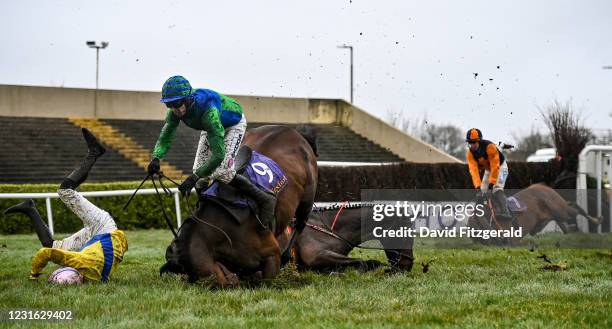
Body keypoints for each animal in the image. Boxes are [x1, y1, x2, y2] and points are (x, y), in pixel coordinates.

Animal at [470, 182, 600, 243]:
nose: (502, 238)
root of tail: (542, 186)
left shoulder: (513, 240)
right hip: (552, 215)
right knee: (563, 222)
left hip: (561, 210)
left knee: (576, 209)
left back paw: (596, 220)